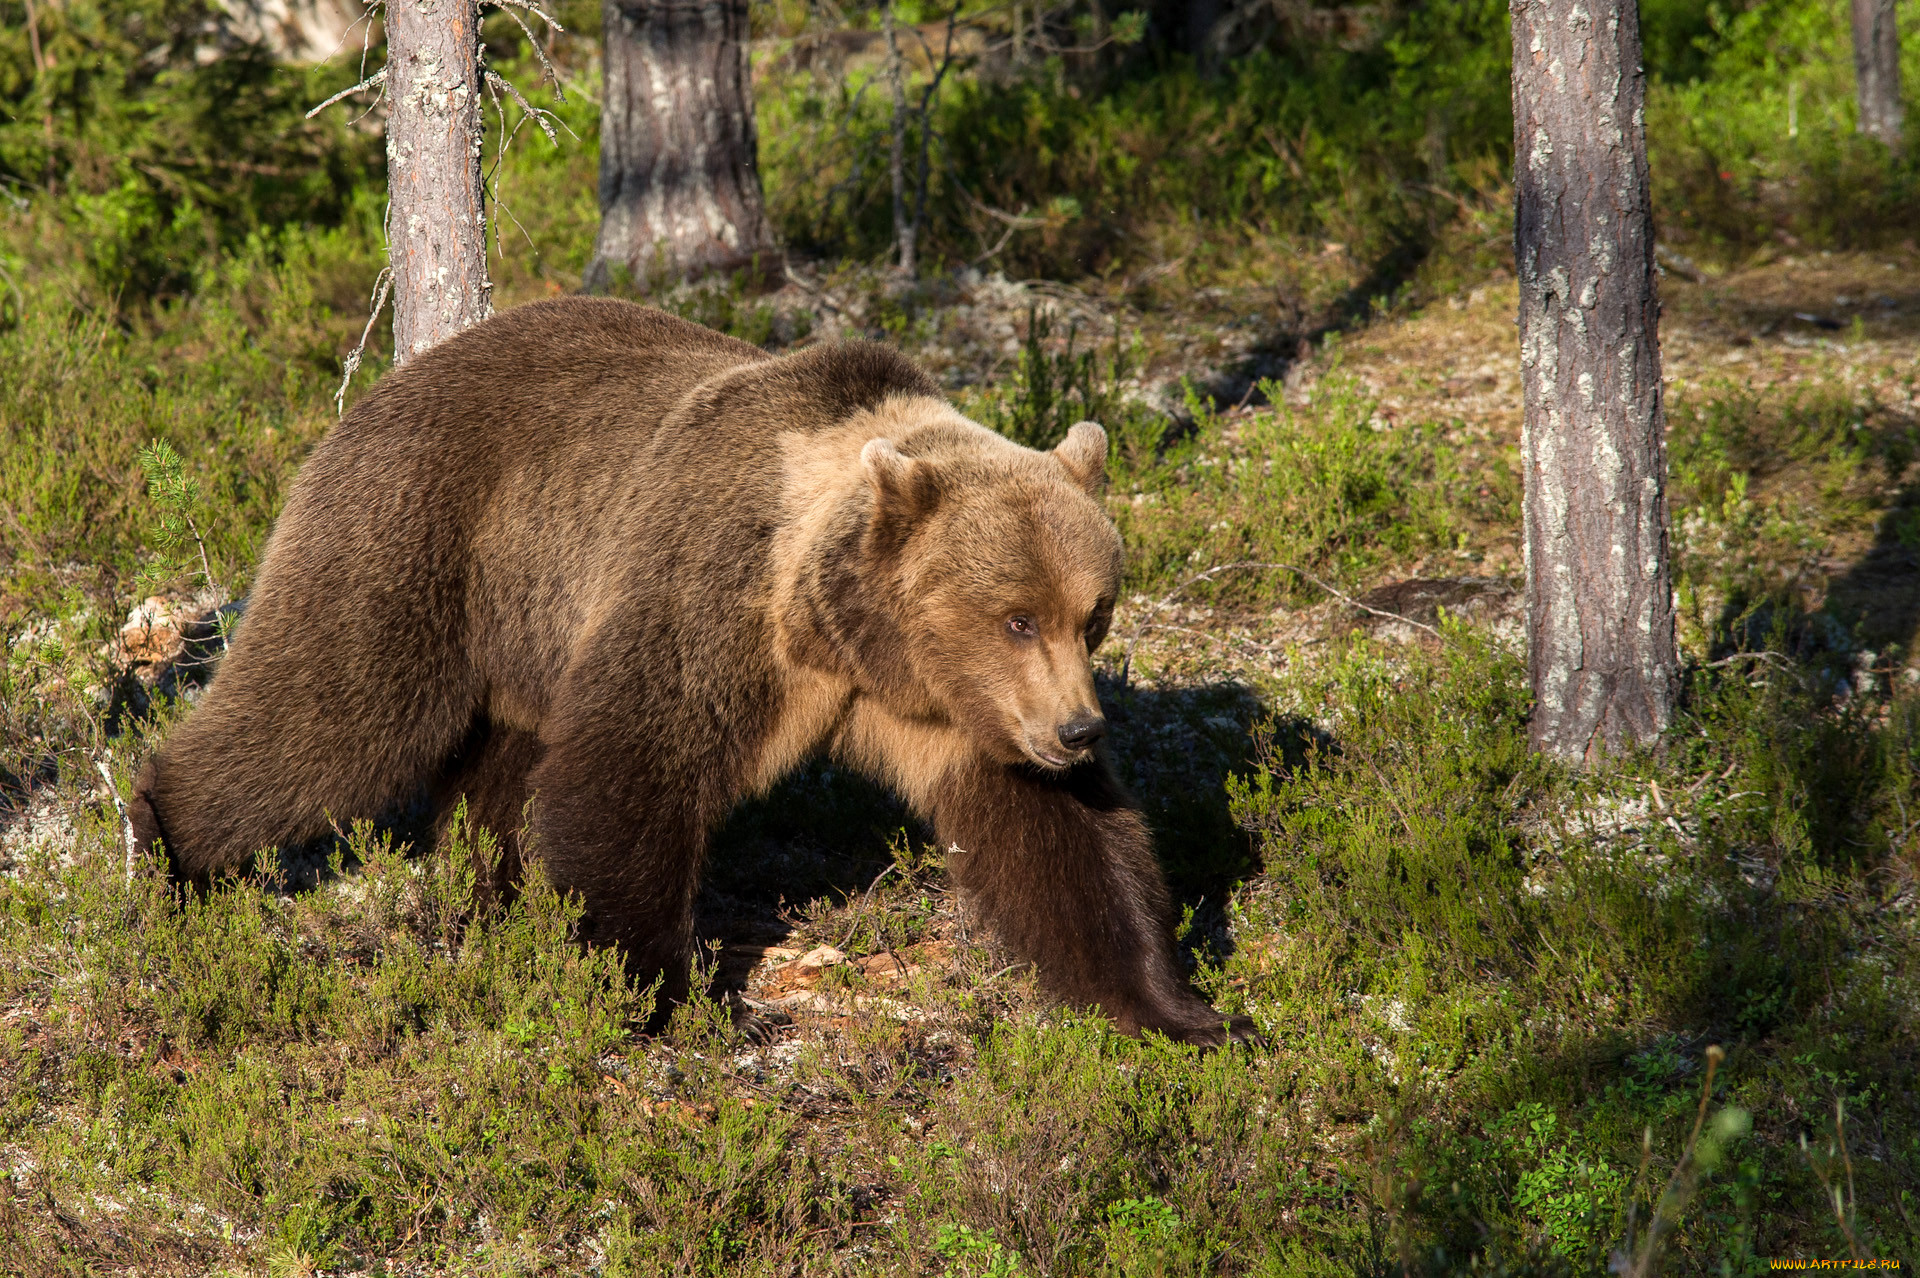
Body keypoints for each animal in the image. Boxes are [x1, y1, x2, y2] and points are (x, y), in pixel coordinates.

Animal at [131, 299, 1244, 1043]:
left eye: (1091, 614)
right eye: (1015, 616)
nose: (1079, 731)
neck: (838, 631)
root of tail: (384, 385)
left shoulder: (948, 710)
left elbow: (1059, 836)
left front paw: (1185, 1009)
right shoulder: (714, 598)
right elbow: (632, 770)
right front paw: (673, 995)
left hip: (528, 628)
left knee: (498, 770)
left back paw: (494, 903)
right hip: (418, 538)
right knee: (332, 715)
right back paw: (166, 846)